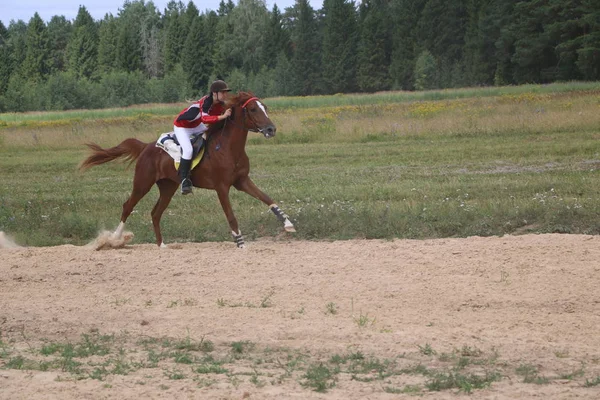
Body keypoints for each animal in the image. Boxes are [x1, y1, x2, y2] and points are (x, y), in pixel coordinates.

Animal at [79, 91, 296, 247]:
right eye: (252, 109)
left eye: (264, 107)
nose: (271, 129)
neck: (228, 148)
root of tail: (146, 146)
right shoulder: (221, 187)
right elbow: (231, 217)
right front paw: (240, 243)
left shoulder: (242, 181)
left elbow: (266, 198)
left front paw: (288, 224)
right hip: (142, 183)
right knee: (128, 206)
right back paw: (115, 239)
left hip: (168, 187)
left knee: (155, 213)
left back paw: (162, 245)